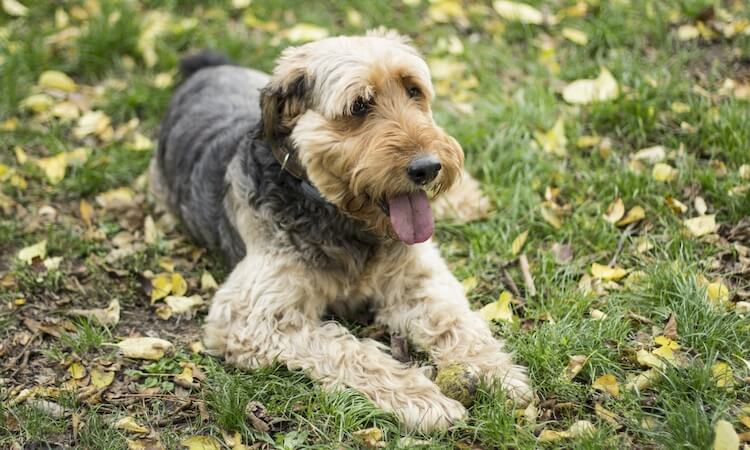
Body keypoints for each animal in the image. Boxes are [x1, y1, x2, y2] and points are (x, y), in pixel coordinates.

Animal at [150, 29, 532, 430]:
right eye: (359, 106)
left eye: (413, 90)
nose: (428, 168)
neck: (340, 215)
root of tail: (205, 69)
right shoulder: (249, 318)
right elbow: (349, 350)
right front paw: (422, 398)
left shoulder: (417, 279)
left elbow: (454, 320)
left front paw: (496, 372)